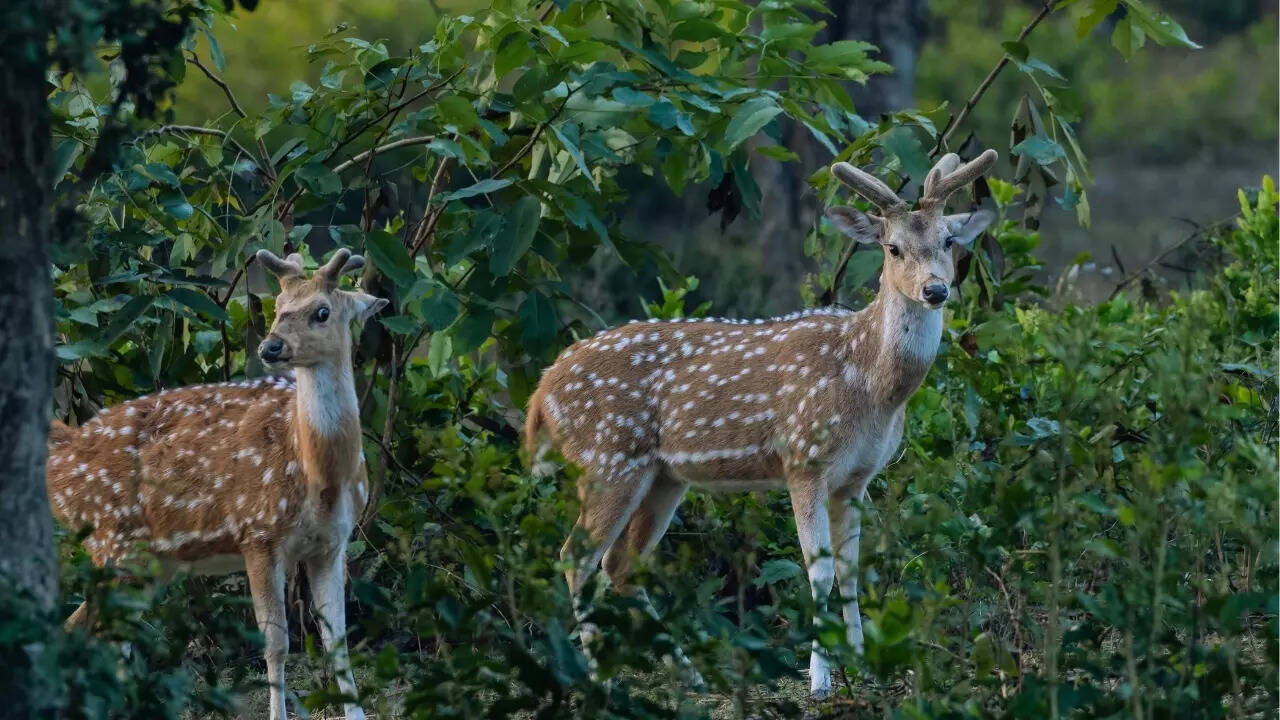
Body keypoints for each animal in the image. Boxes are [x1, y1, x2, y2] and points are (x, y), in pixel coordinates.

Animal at [45, 247, 388, 720]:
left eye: (321, 311)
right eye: (278, 308)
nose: (270, 346)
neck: (319, 475)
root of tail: (60, 457)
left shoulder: (332, 544)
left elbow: (337, 643)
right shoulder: (257, 532)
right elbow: (276, 644)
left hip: (150, 562)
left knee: (91, 631)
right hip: (111, 541)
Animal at [524, 150, 999, 699]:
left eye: (948, 239)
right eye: (892, 247)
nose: (936, 289)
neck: (869, 386)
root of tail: (542, 390)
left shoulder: (857, 478)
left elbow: (852, 572)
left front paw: (862, 664)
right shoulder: (804, 460)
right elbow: (820, 573)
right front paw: (820, 679)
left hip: (663, 477)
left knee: (619, 564)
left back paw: (690, 674)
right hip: (607, 458)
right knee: (575, 556)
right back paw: (598, 676)